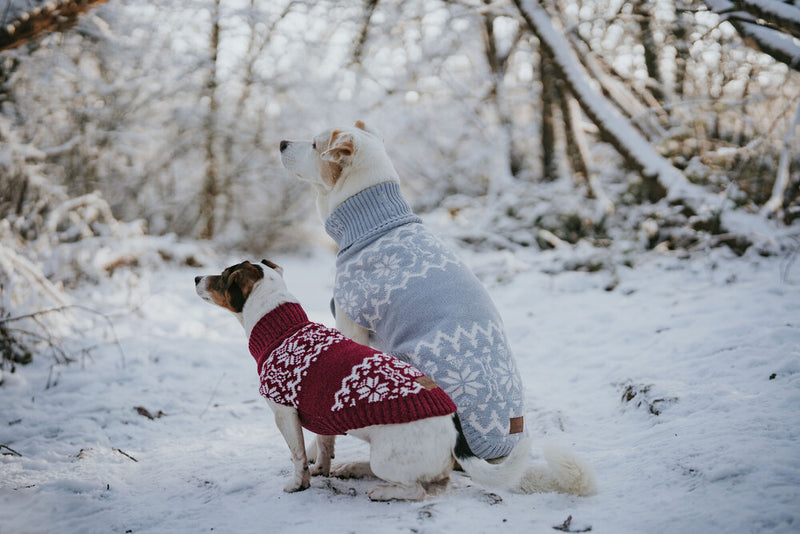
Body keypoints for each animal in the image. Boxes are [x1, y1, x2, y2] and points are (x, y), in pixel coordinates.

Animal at [194, 260, 536, 502]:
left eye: (223, 275)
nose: (196, 278)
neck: (282, 326)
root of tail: (453, 427)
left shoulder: (284, 414)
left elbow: (298, 455)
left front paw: (298, 483)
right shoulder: (321, 420)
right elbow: (324, 448)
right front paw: (322, 471)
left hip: (388, 459)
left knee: (419, 490)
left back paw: (382, 491)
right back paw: (353, 470)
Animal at [280, 122, 592, 498]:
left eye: (314, 144)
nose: (281, 142)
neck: (373, 223)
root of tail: (494, 451)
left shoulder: (350, 326)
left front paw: (317, 451)